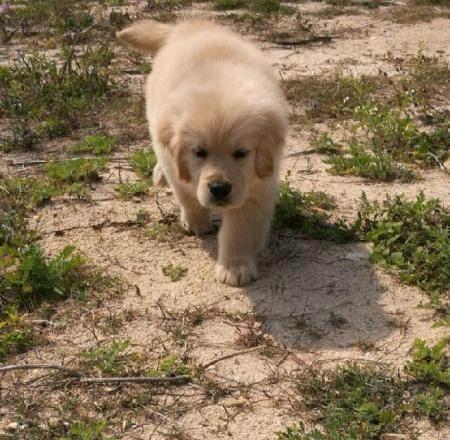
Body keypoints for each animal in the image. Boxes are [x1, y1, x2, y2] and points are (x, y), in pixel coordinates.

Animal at [116, 20, 288, 288]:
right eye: (199, 152)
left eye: (241, 153)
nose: (219, 188)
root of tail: (187, 26)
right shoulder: (177, 168)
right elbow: (187, 197)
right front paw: (197, 222)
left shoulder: (258, 186)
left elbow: (240, 229)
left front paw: (234, 267)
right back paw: (159, 175)